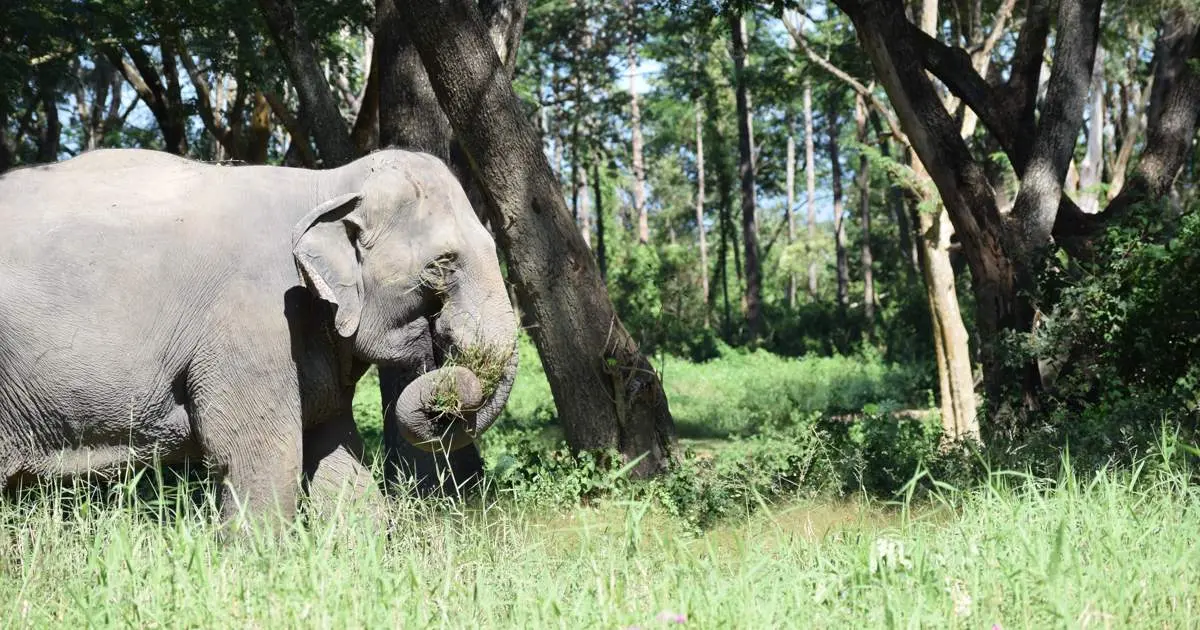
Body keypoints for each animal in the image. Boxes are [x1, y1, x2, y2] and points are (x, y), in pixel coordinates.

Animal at [0, 148, 518, 524]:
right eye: (442, 264)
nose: (452, 380)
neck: (327, 183)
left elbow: (337, 452)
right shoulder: (255, 320)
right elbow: (259, 455)